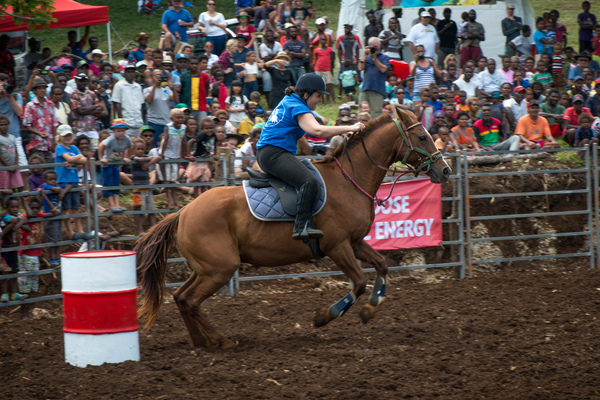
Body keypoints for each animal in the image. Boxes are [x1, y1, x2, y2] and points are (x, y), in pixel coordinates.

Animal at [136, 106, 452, 346]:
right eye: (422, 137)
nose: (446, 170)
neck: (348, 181)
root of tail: (182, 213)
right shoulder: (337, 247)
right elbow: (360, 282)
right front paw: (325, 316)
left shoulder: (355, 242)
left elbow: (382, 266)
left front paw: (370, 309)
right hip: (220, 268)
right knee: (190, 300)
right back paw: (220, 340)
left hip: (206, 268)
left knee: (181, 297)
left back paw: (201, 341)